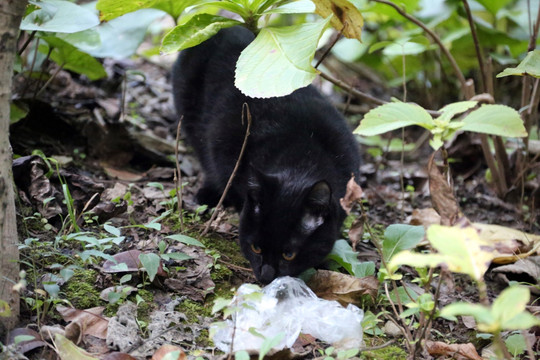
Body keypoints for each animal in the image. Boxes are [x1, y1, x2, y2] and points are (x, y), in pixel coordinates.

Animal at [171, 26, 360, 284]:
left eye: (289, 254)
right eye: (256, 248)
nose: (266, 276)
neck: (301, 153)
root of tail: (228, 27)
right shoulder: (221, 140)